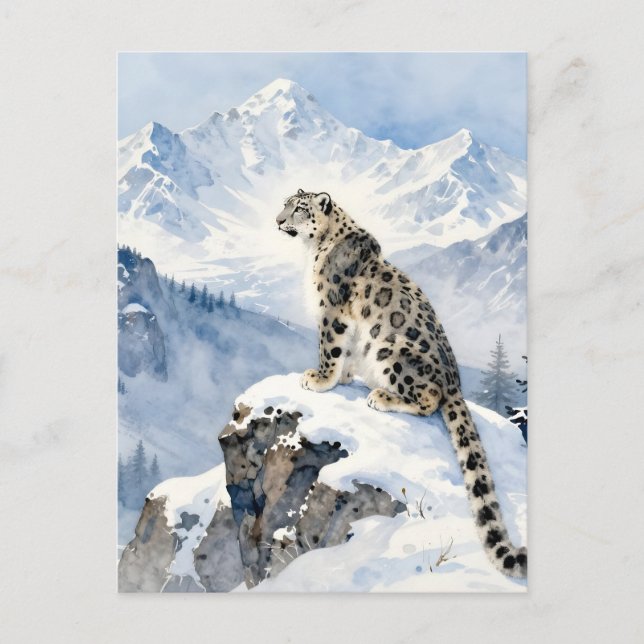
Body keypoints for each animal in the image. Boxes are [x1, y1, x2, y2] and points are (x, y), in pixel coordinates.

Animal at [276, 188, 527, 579]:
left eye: (299, 208)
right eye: (285, 203)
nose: (278, 220)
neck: (314, 249)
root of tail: (455, 382)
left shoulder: (332, 311)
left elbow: (329, 347)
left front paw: (320, 379)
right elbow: (346, 352)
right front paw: (342, 376)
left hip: (392, 351)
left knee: (429, 399)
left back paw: (382, 396)